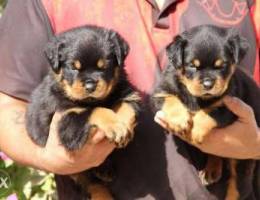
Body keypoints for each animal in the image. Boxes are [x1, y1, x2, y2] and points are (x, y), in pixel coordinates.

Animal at [25, 25, 141, 198]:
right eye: (74, 67)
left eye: (103, 66)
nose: (90, 86)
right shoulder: (67, 122)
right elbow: (95, 110)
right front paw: (115, 125)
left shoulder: (127, 93)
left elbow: (125, 105)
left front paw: (124, 128)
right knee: (90, 183)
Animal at [150, 25, 260, 200]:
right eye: (192, 66)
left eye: (221, 65)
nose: (208, 84)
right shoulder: (161, 91)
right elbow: (171, 100)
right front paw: (179, 120)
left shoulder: (228, 103)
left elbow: (210, 112)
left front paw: (196, 130)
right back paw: (211, 171)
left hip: (242, 159)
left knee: (237, 188)